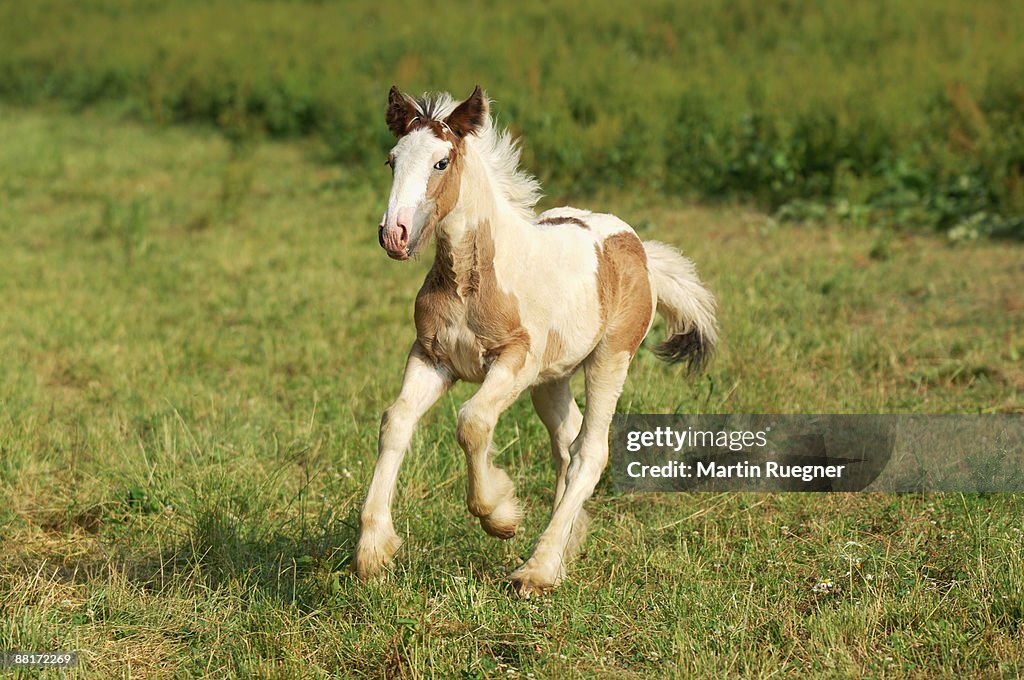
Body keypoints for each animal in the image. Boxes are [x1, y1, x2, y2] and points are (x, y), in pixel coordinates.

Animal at [356, 86, 716, 593]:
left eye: (441, 162)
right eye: (392, 160)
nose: (394, 234)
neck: (471, 280)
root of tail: (638, 249)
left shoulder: (515, 360)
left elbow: (472, 422)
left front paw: (501, 515)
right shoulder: (430, 356)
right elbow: (396, 421)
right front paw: (373, 551)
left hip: (610, 358)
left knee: (590, 451)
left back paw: (537, 569)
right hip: (553, 378)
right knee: (567, 442)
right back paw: (562, 552)